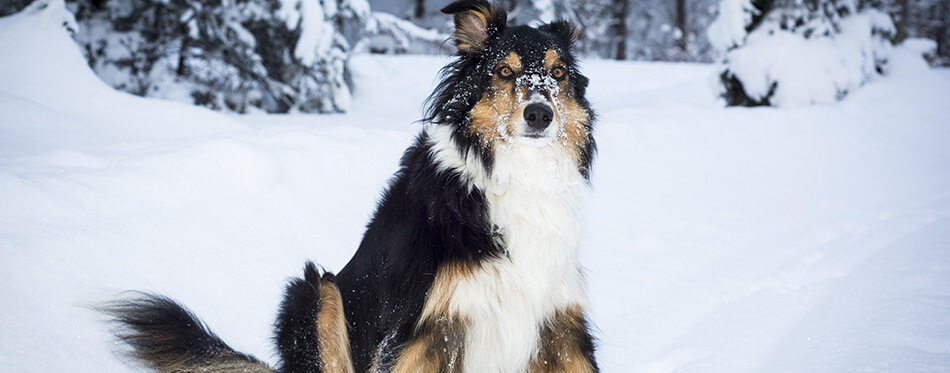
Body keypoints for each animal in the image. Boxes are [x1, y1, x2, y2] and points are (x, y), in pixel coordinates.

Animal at [102, 1, 596, 370]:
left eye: (558, 74)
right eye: (504, 72)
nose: (540, 114)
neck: (519, 172)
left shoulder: (561, 325)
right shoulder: (421, 327)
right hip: (314, 292)